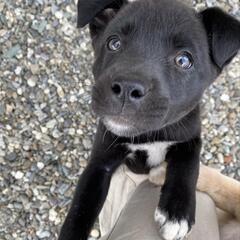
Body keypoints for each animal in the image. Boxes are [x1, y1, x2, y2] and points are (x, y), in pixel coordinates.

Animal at [58, 0, 240, 240]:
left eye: (184, 60)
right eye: (114, 43)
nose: (127, 88)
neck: (150, 133)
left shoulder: (191, 136)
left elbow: (188, 165)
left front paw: (176, 212)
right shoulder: (100, 162)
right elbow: (82, 206)